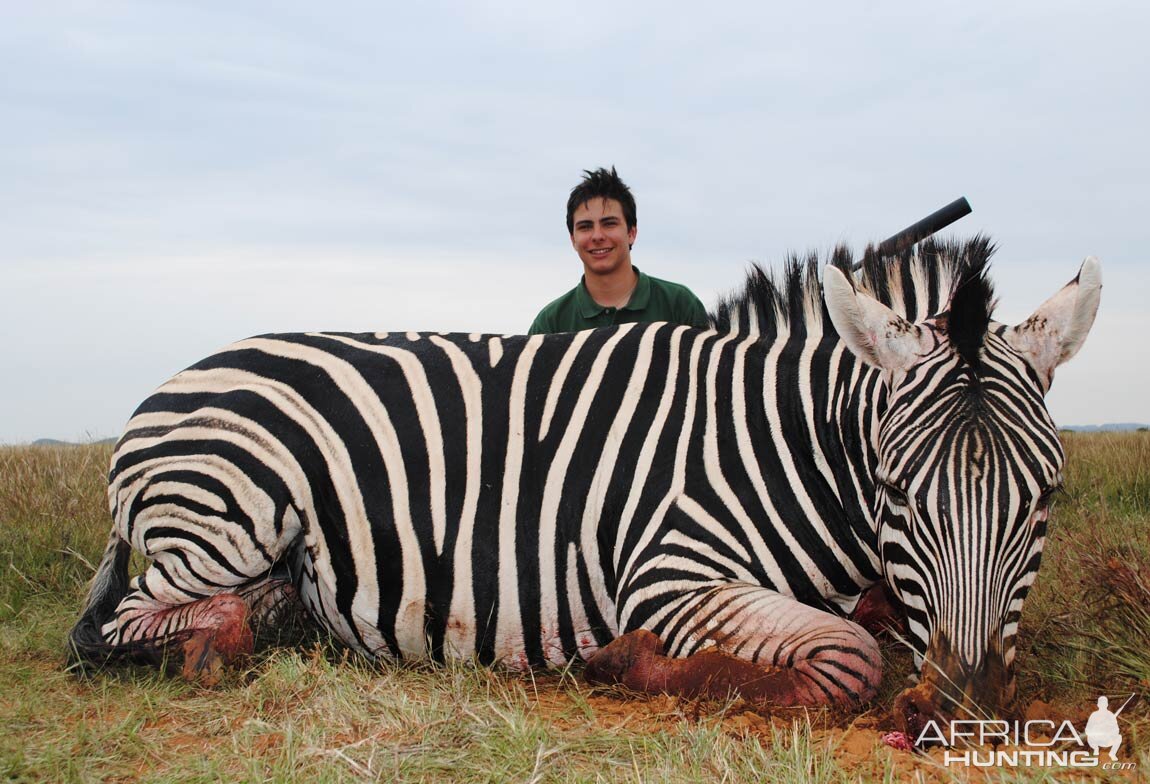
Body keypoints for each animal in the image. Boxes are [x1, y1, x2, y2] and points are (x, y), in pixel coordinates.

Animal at [69, 237, 1094, 726]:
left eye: (1044, 498)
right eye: (900, 493)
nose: (965, 706)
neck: (782, 445)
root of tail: (172, 382)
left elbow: (868, 625)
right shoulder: (671, 574)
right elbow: (847, 657)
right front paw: (623, 663)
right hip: (230, 515)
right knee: (111, 630)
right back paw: (220, 643)